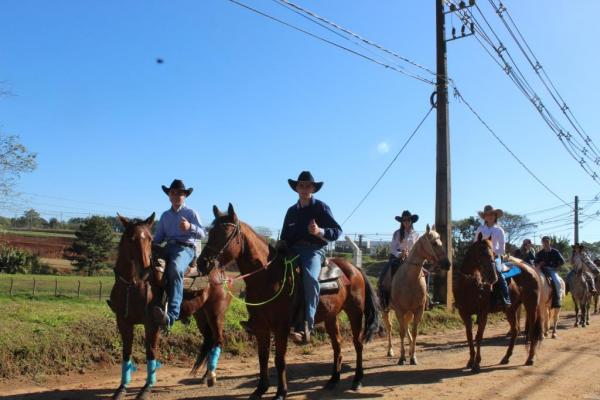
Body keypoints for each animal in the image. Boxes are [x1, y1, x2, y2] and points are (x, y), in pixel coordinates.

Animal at [108, 214, 230, 400]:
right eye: (130, 239)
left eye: (149, 238)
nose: (145, 271)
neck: (131, 285)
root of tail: (222, 272)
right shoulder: (123, 322)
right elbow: (126, 353)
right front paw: (121, 388)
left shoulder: (152, 323)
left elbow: (151, 352)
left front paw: (146, 388)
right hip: (201, 316)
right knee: (210, 339)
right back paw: (205, 376)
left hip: (216, 314)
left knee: (219, 339)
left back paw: (211, 377)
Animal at [197, 204, 381, 400]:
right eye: (211, 231)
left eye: (226, 233)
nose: (202, 263)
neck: (268, 277)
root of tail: (354, 269)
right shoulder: (261, 327)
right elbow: (263, 357)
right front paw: (260, 389)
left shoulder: (281, 327)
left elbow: (280, 359)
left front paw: (281, 392)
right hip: (331, 316)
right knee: (337, 344)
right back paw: (333, 379)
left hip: (355, 312)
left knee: (358, 343)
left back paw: (357, 380)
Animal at [386, 225, 450, 365]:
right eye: (434, 243)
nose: (447, 264)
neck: (410, 279)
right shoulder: (399, 310)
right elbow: (401, 332)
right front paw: (402, 357)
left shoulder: (418, 310)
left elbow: (414, 332)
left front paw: (413, 357)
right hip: (386, 310)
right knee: (390, 327)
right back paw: (390, 351)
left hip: (409, 312)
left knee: (406, 327)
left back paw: (409, 349)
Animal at [453, 234, 544, 372]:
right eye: (481, 252)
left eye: (493, 253)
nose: (493, 277)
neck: (470, 284)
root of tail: (531, 269)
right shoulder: (464, 313)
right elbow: (469, 336)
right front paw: (470, 361)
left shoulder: (483, 313)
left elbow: (478, 336)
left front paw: (477, 363)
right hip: (511, 309)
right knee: (515, 330)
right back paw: (506, 357)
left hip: (531, 306)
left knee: (532, 331)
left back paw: (530, 358)